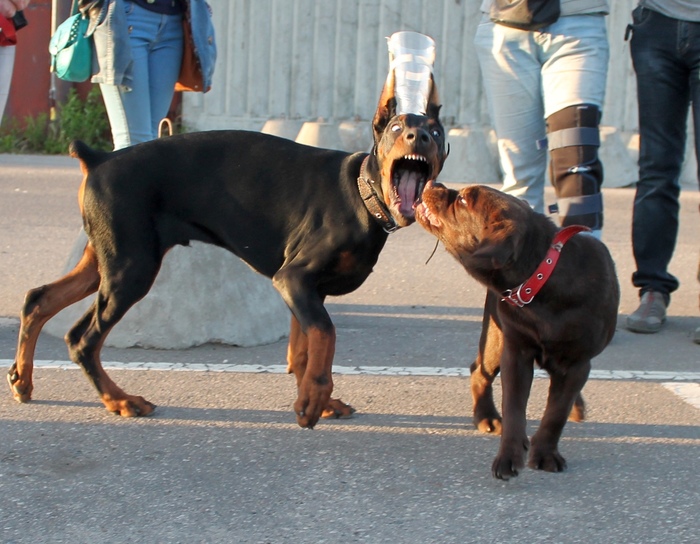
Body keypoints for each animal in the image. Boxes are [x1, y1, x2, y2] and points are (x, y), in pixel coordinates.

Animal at [416, 182, 616, 476]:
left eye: (463, 200)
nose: (435, 183)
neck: (541, 277)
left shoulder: (577, 362)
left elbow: (556, 413)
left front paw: (545, 454)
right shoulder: (515, 350)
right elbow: (514, 408)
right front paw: (509, 457)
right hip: (495, 337)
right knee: (480, 372)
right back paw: (487, 416)